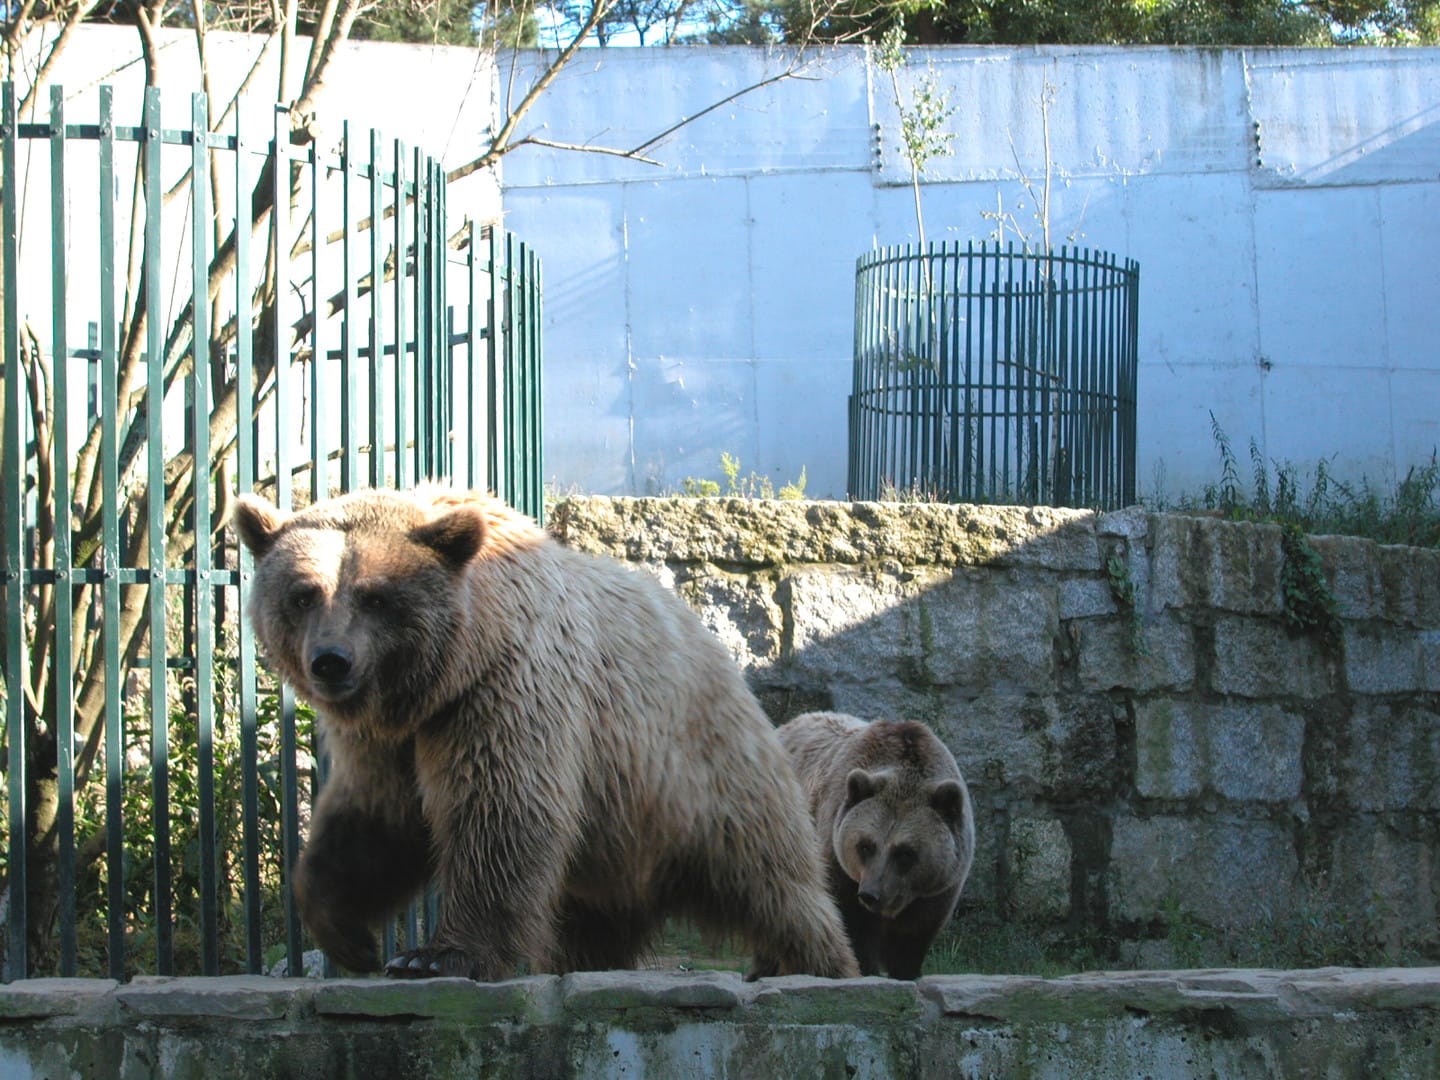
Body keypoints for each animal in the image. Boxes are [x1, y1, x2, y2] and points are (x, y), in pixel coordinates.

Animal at [231, 486, 858, 982]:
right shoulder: (389, 741)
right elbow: (372, 823)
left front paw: (433, 956)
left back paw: (821, 964)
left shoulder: (508, 690)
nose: (330, 661)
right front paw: (347, 935)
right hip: (613, 841)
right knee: (592, 925)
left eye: (375, 595)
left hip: (705, 779)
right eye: (303, 593)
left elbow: (500, 812)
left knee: (777, 887)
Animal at [776, 711, 975, 980]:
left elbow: (913, 936)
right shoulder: (840, 868)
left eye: (905, 853)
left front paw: (905, 972)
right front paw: (865, 970)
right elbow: (853, 927)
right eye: (866, 845)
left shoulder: (937, 888)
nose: (871, 894)